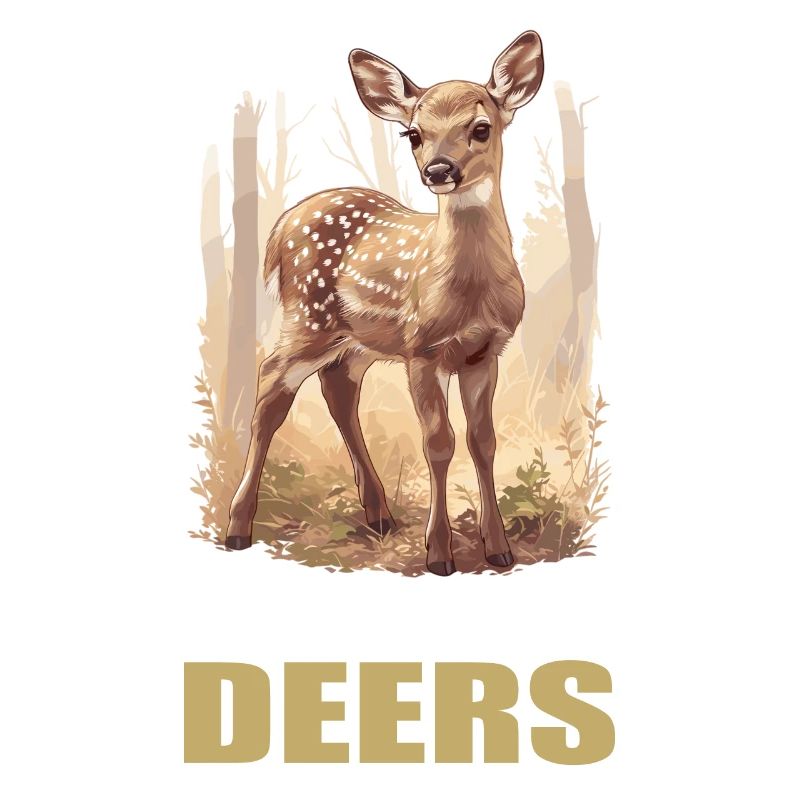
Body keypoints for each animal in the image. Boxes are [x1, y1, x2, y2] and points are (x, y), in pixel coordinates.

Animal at [225, 31, 544, 576]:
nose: (439, 170)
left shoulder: (485, 352)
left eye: (481, 128)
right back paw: (237, 528)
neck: (469, 294)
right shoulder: (423, 349)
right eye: (413, 134)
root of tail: (281, 228)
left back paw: (379, 514)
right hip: (307, 317)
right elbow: (439, 444)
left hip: (357, 341)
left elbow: (483, 442)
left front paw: (499, 548)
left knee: (337, 390)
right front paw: (439, 554)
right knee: (270, 386)